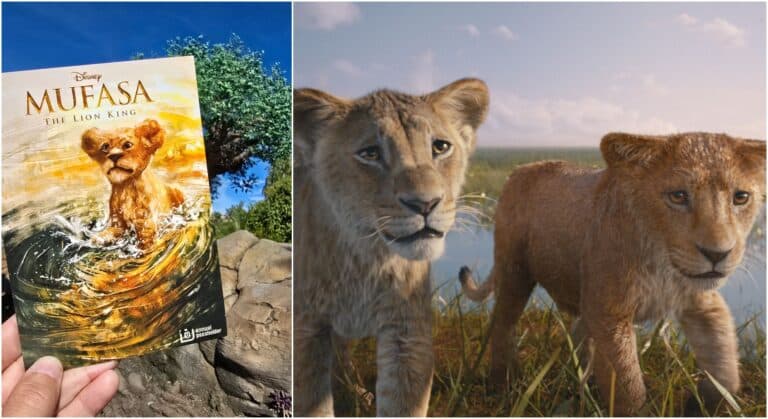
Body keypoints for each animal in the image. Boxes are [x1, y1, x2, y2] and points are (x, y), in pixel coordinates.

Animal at [81, 119, 184, 249]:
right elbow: (109, 232)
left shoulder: (147, 223)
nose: (114, 156)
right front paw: (98, 238)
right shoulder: (118, 223)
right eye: (105, 147)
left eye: (127, 145)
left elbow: (146, 241)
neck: (126, 187)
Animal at [294, 78, 489, 416]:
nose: (425, 204)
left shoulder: (407, 333)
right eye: (370, 153)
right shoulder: (305, 332)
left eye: (440, 147)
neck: (366, 258)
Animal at [459, 132, 765, 416]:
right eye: (678, 196)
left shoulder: (703, 304)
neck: (662, 264)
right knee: (503, 324)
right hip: (514, 271)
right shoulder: (610, 314)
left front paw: (707, 403)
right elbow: (628, 385)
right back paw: (503, 384)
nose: (717, 254)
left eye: (741, 197)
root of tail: (520, 168)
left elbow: (724, 363)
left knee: (580, 335)